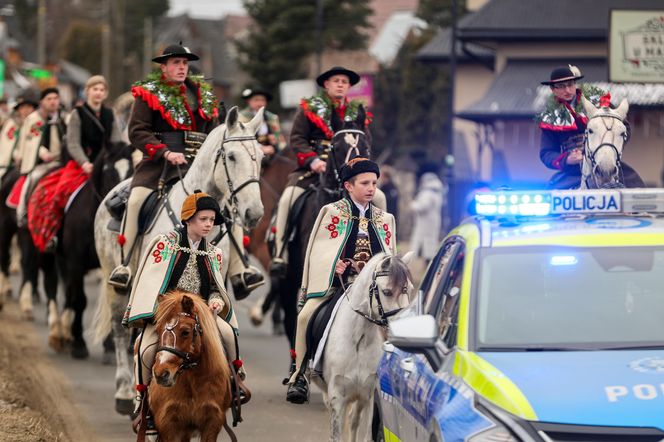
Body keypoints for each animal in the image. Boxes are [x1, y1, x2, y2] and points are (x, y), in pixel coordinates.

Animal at [91, 107, 268, 414]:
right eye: (232, 156)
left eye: (260, 156)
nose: (254, 213)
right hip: (118, 282)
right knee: (120, 329)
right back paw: (125, 392)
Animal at [147, 290, 232, 442]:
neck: (192, 382)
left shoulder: (212, 422)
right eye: (157, 330)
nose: (161, 374)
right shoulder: (168, 423)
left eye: (185, 331)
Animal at [312, 252, 416, 442]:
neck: (358, 340)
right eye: (387, 291)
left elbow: (365, 433)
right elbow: (336, 435)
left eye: (409, 289)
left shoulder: (369, 395)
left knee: (354, 422)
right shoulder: (337, 396)